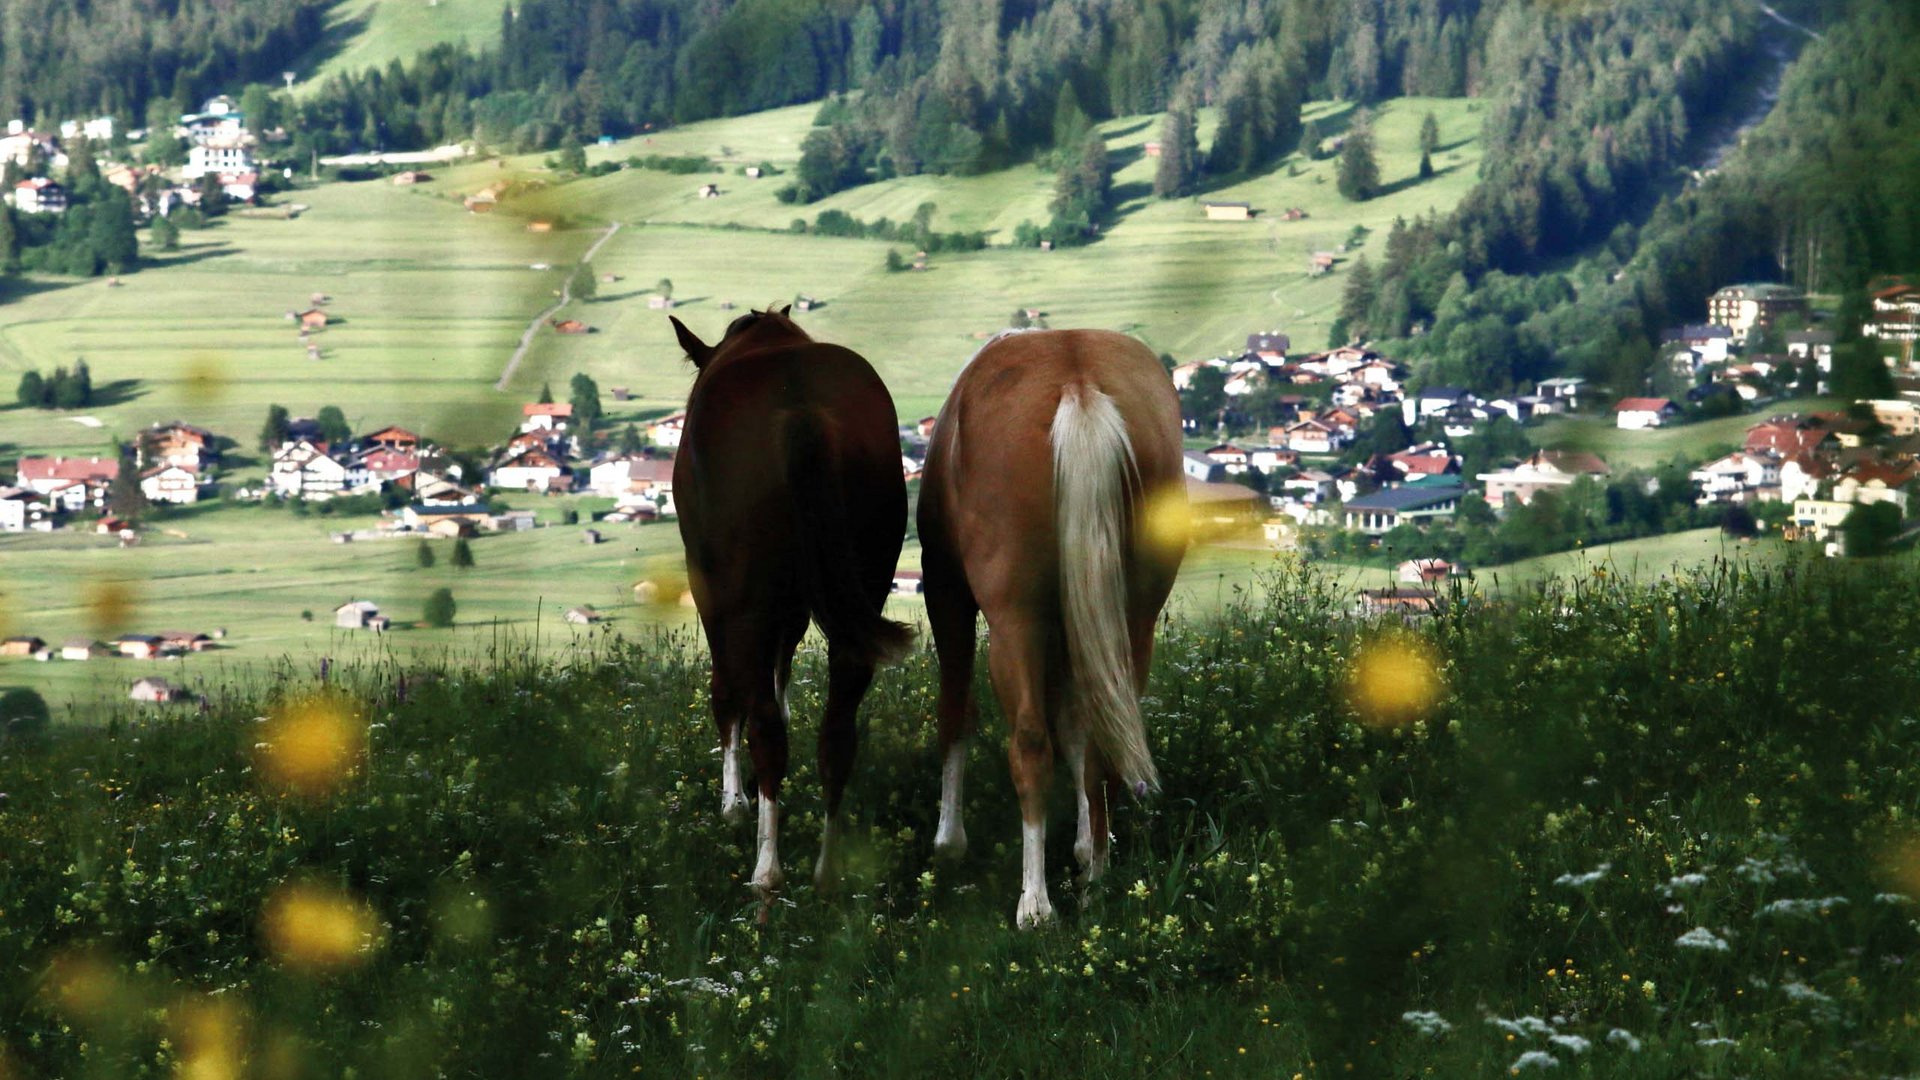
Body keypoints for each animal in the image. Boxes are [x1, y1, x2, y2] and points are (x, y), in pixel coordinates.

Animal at [670, 307, 914, 900]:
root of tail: (802, 411)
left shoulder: (716, 591)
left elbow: (728, 692)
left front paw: (734, 802)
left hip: (743, 598)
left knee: (764, 726)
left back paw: (767, 869)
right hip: (865, 578)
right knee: (838, 728)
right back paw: (827, 868)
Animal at [916, 328, 1187, 927]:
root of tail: (1077, 380)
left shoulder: (946, 593)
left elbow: (956, 709)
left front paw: (948, 840)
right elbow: (1080, 728)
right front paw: (1086, 845)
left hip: (1012, 619)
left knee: (1030, 742)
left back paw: (1035, 904)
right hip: (1135, 618)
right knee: (1106, 736)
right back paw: (1098, 882)